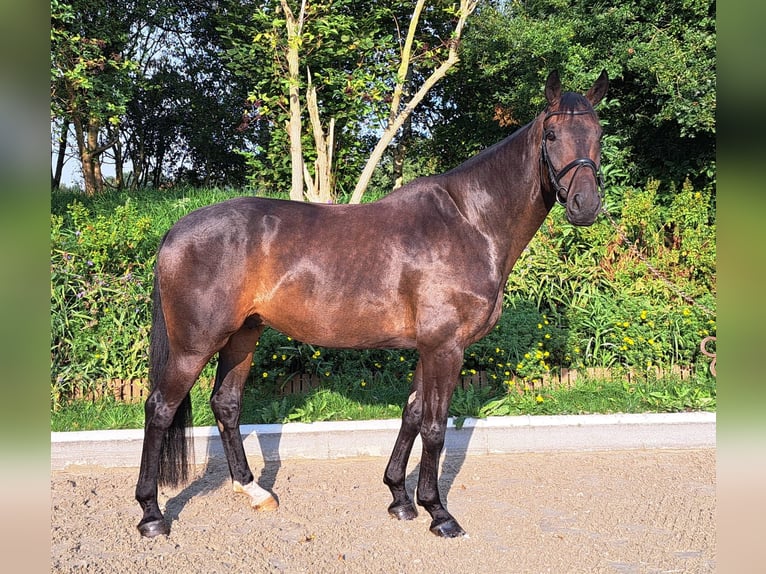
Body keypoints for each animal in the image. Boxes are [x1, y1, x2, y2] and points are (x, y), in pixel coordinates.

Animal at [135, 71, 608, 540]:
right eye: (551, 135)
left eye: (599, 134)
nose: (585, 206)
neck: (470, 223)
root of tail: (176, 230)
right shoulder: (446, 348)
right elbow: (435, 428)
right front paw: (438, 512)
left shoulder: (428, 348)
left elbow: (412, 415)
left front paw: (399, 498)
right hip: (194, 346)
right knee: (160, 409)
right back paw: (151, 514)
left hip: (243, 335)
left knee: (227, 404)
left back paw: (253, 491)